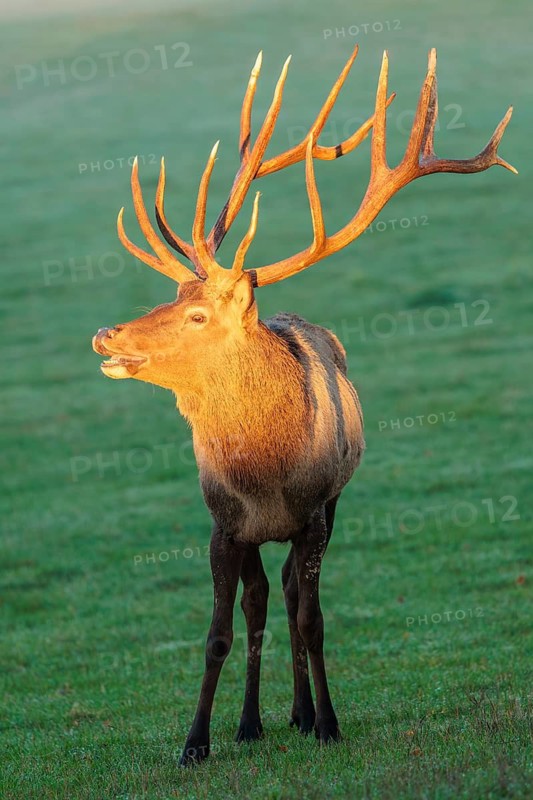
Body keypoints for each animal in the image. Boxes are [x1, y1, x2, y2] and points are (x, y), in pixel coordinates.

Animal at [92, 46, 515, 765]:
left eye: (197, 313)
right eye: (172, 295)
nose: (107, 335)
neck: (265, 475)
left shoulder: (316, 512)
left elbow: (313, 619)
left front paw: (328, 722)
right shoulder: (222, 523)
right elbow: (219, 631)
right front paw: (196, 742)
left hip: (332, 503)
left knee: (291, 594)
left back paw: (299, 710)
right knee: (263, 599)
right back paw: (254, 720)